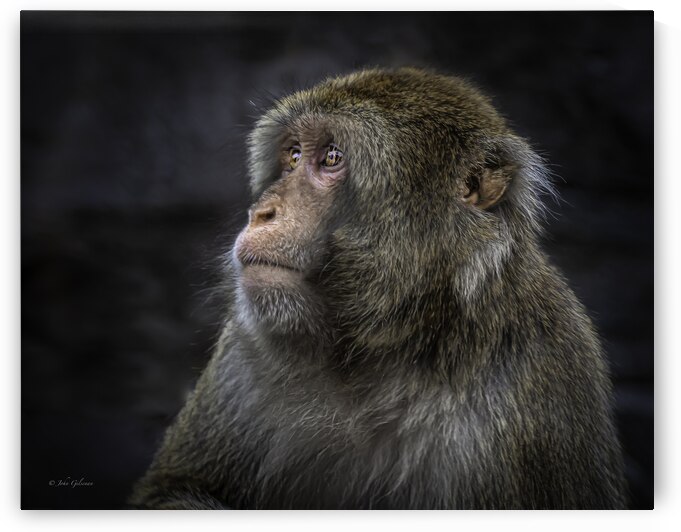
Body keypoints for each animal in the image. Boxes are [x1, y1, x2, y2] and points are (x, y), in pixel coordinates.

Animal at [130, 67, 626, 509]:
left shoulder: (543, 373)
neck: (383, 344)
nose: (262, 212)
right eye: (293, 155)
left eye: (332, 158)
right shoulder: (242, 350)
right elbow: (171, 492)